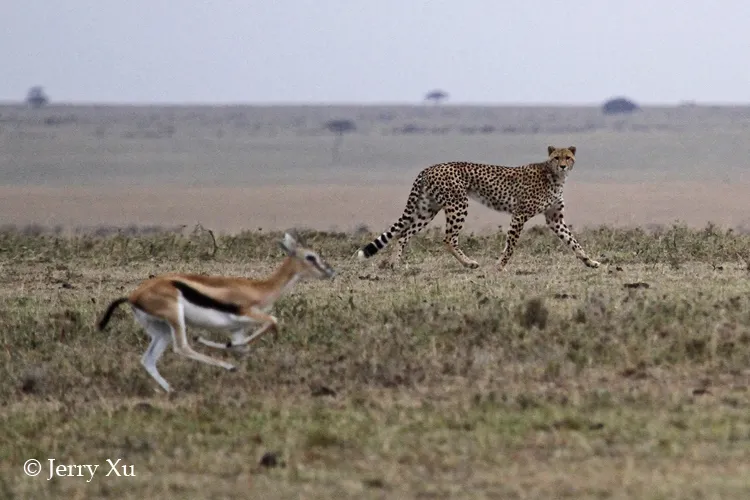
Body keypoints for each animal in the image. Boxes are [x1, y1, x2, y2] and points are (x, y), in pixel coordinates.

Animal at [360, 146, 604, 270]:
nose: (563, 165)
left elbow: (573, 241)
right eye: (556, 157)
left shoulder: (555, 218)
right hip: (458, 204)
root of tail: (429, 167)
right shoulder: (520, 214)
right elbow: (511, 244)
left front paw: (589, 261)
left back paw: (394, 264)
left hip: (428, 209)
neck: (554, 176)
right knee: (448, 239)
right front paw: (500, 265)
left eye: (568, 157)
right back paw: (469, 263)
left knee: (403, 234)